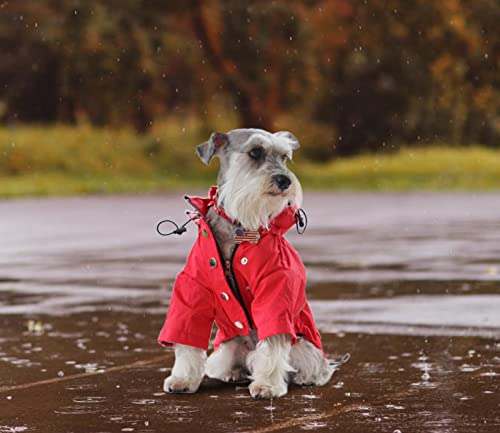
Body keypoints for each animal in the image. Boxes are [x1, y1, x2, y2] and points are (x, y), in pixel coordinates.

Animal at [158, 128, 334, 398]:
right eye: (255, 152)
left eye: (284, 157)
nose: (285, 180)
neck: (239, 226)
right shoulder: (192, 287)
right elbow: (186, 336)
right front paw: (182, 379)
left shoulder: (275, 286)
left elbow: (273, 342)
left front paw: (267, 385)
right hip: (227, 348)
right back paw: (234, 372)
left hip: (305, 346)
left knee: (311, 364)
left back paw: (308, 377)